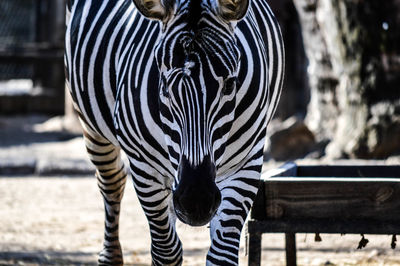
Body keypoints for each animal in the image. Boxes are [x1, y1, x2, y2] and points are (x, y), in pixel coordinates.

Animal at [65, 0, 282, 264]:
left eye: (230, 84)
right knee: (111, 181)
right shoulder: (144, 166)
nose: (196, 201)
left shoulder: (247, 160)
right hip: (90, 124)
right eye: (165, 85)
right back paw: (111, 256)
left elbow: (221, 255)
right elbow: (166, 251)